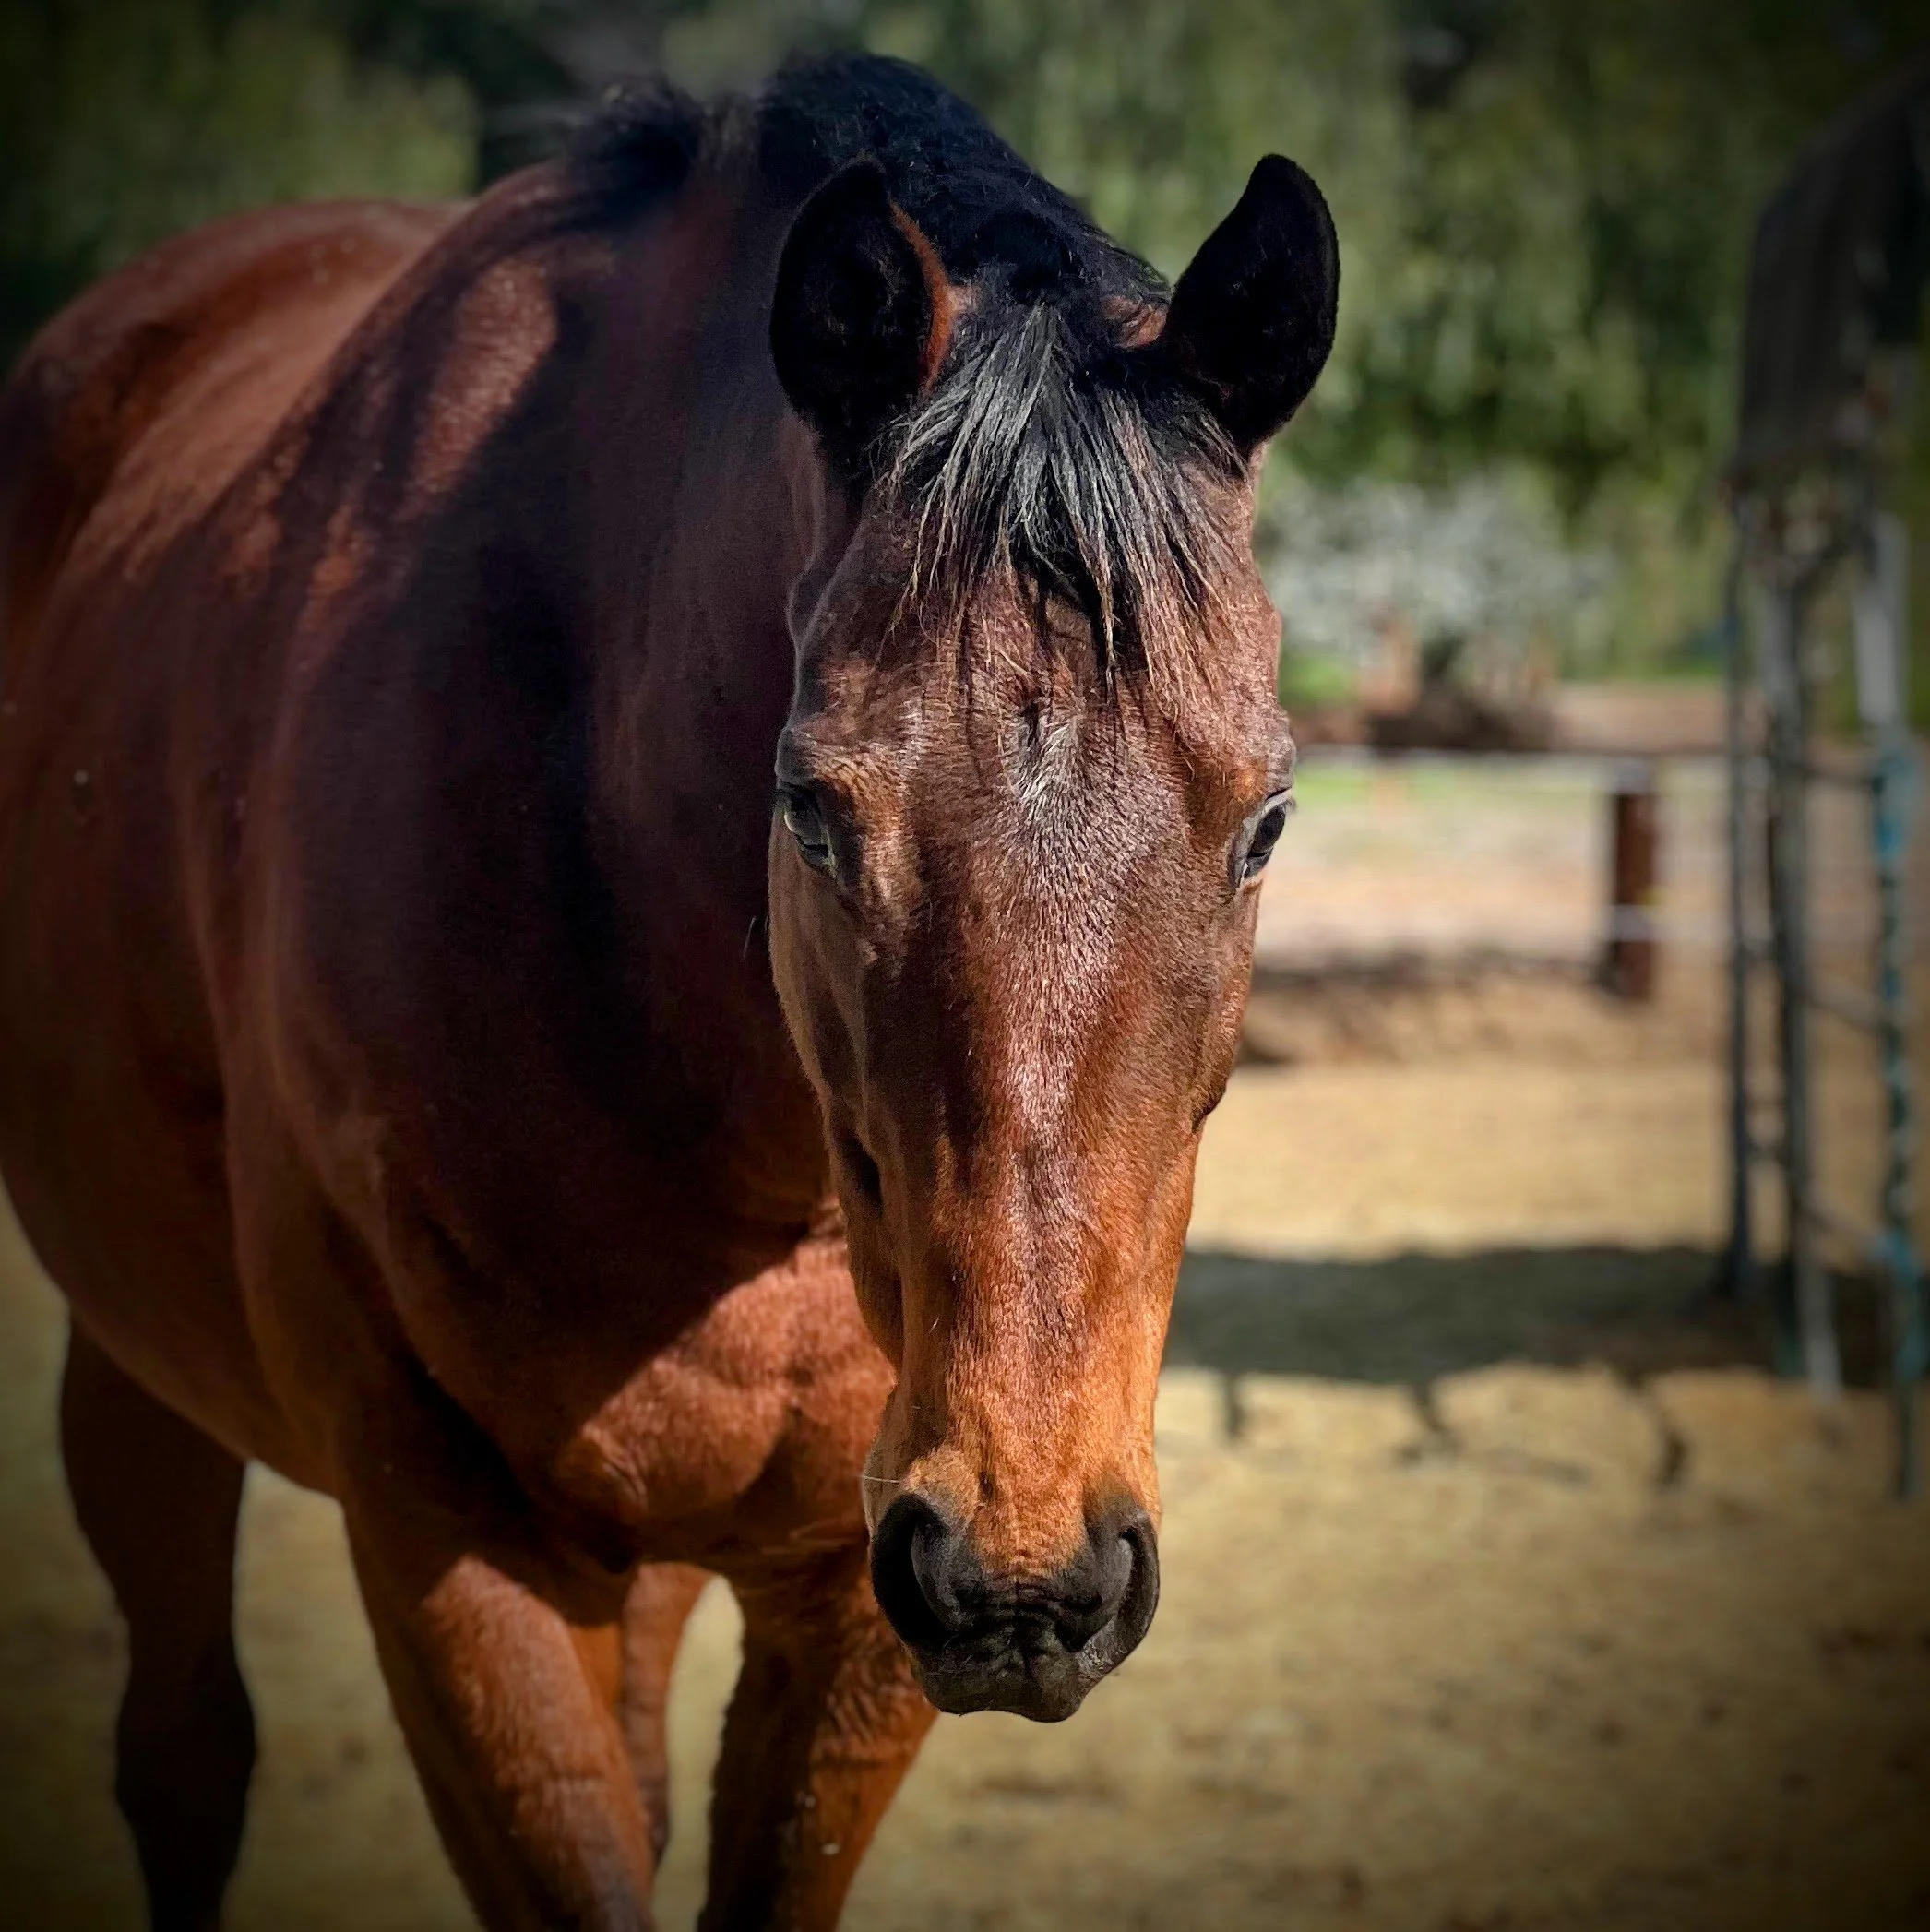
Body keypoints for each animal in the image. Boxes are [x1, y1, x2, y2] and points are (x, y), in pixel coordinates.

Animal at [0, 52, 1336, 1932]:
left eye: (1266, 815)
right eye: (813, 807)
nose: (1031, 1569)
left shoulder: (854, 1592)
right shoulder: (451, 1538)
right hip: (146, 1375)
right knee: (183, 1752)